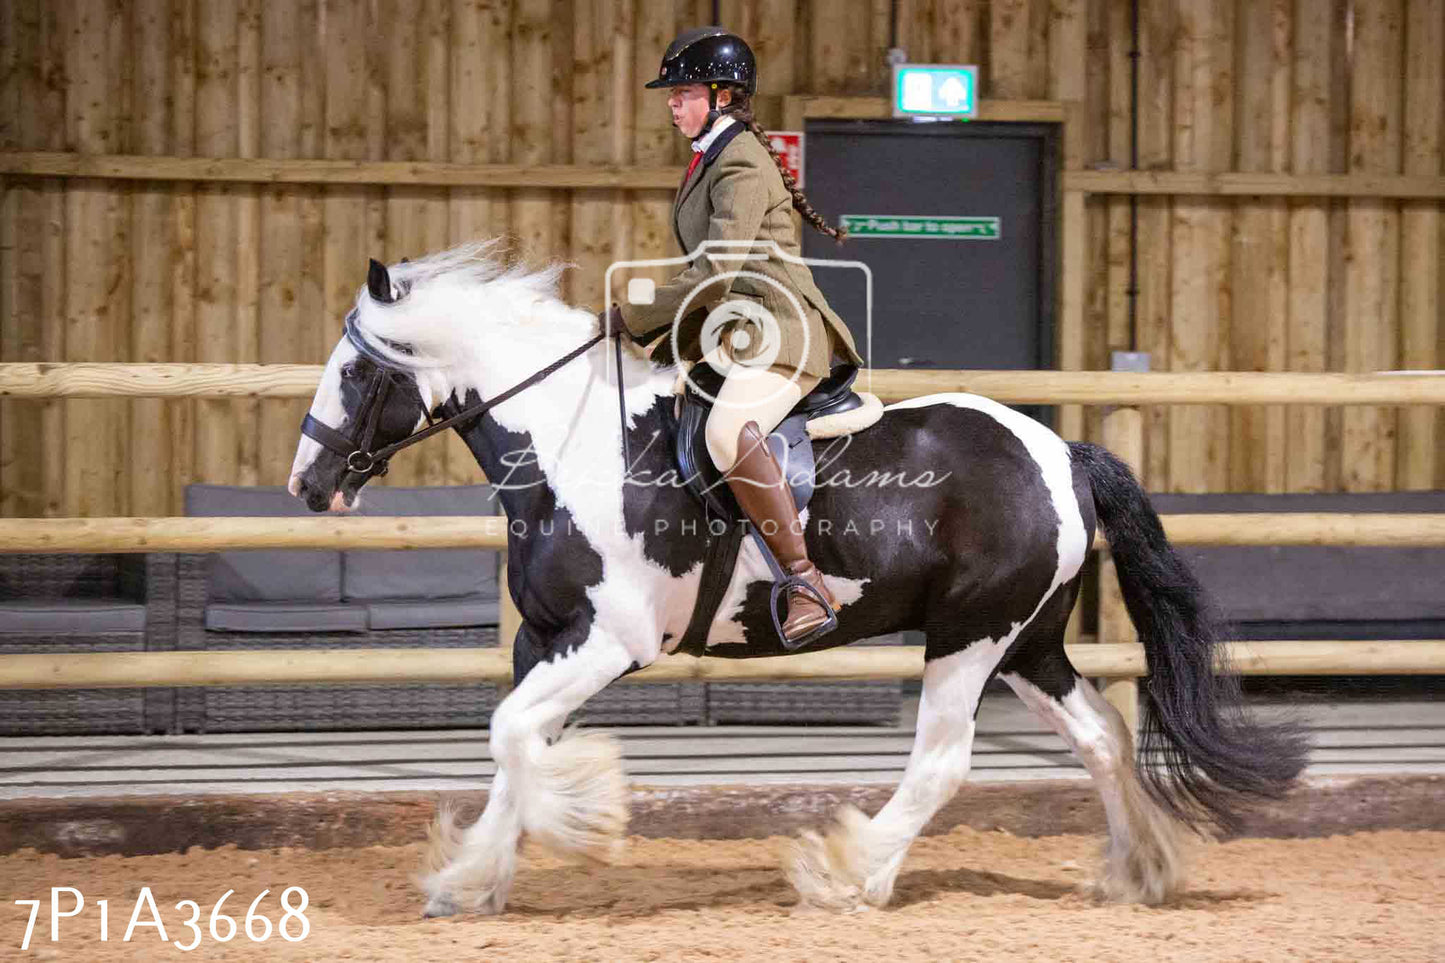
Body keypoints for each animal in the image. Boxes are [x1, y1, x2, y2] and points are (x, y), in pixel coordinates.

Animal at [287, 240, 1306, 913]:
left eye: (355, 371)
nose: (307, 483)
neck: (572, 442)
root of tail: (1063, 450)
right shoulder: (544, 641)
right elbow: (511, 743)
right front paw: (471, 877)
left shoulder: (608, 642)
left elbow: (513, 738)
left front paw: (579, 818)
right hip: (1027, 641)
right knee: (1099, 735)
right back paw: (1139, 872)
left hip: (969, 636)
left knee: (942, 760)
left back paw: (848, 872)